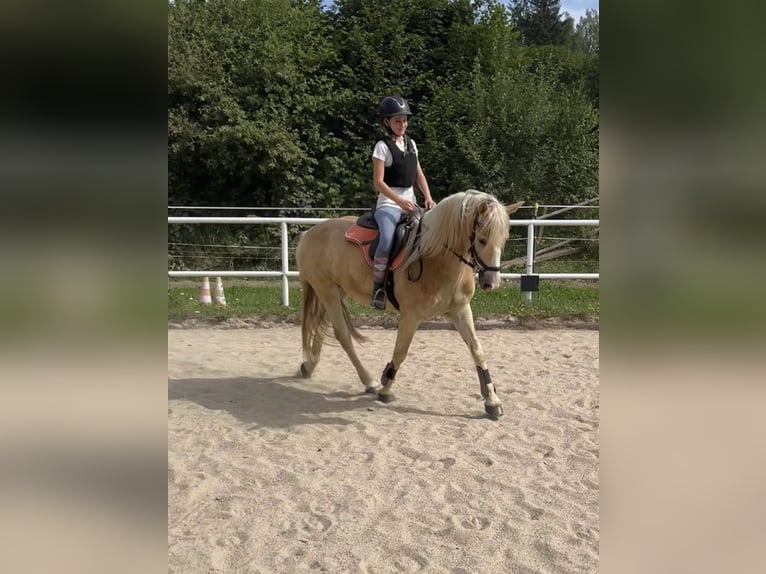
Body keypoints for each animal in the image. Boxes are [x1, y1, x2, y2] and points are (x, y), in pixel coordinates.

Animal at [296, 191, 524, 420]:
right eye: (482, 239)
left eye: (504, 239)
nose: (491, 283)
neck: (436, 258)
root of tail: (310, 232)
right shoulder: (411, 315)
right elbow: (401, 351)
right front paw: (386, 388)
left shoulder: (460, 310)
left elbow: (477, 350)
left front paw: (492, 401)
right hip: (326, 290)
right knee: (342, 334)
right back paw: (369, 381)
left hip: (335, 291)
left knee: (322, 326)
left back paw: (309, 366)